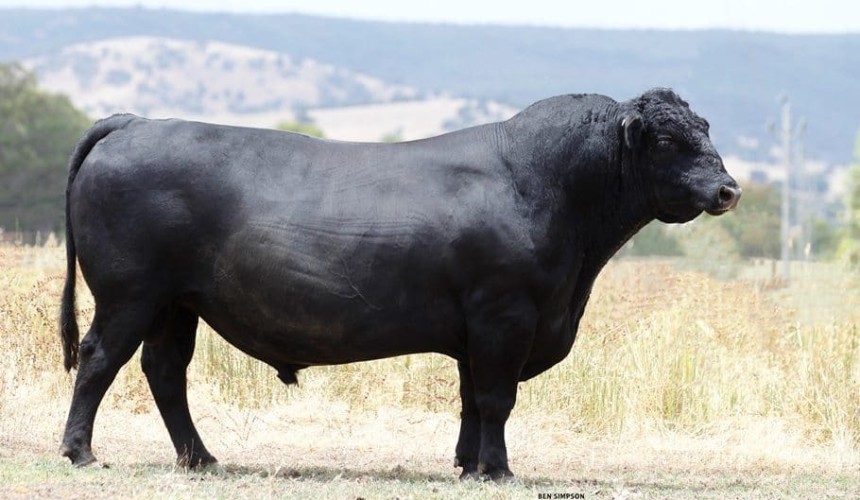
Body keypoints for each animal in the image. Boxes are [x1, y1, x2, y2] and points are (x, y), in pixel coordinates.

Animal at [59, 88, 740, 480]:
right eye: (669, 138)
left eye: (707, 128)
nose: (728, 189)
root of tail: (136, 122)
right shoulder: (505, 315)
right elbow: (497, 398)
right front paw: (498, 470)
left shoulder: (479, 328)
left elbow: (472, 399)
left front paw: (467, 464)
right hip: (130, 294)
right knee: (99, 359)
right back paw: (80, 452)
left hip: (177, 303)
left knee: (165, 372)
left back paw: (200, 459)